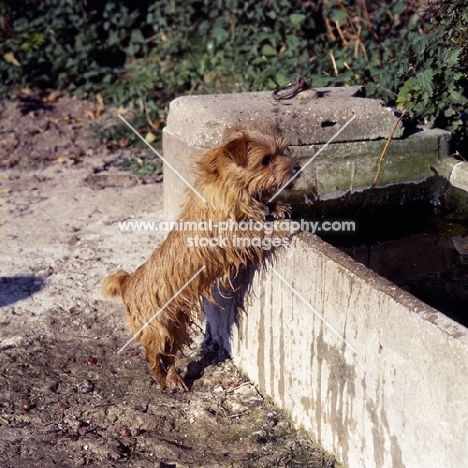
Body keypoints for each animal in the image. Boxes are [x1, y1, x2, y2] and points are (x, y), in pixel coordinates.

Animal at [102, 121, 294, 392]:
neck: (232, 186)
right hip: (157, 328)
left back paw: (174, 378)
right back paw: (162, 379)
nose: (297, 167)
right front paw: (284, 226)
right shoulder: (232, 235)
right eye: (266, 159)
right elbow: (258, 230)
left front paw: (277, 208)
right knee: (153, 355)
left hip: (176, 326)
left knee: (169, 355)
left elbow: (262, 209)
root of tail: (127, 282)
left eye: (282, 151)